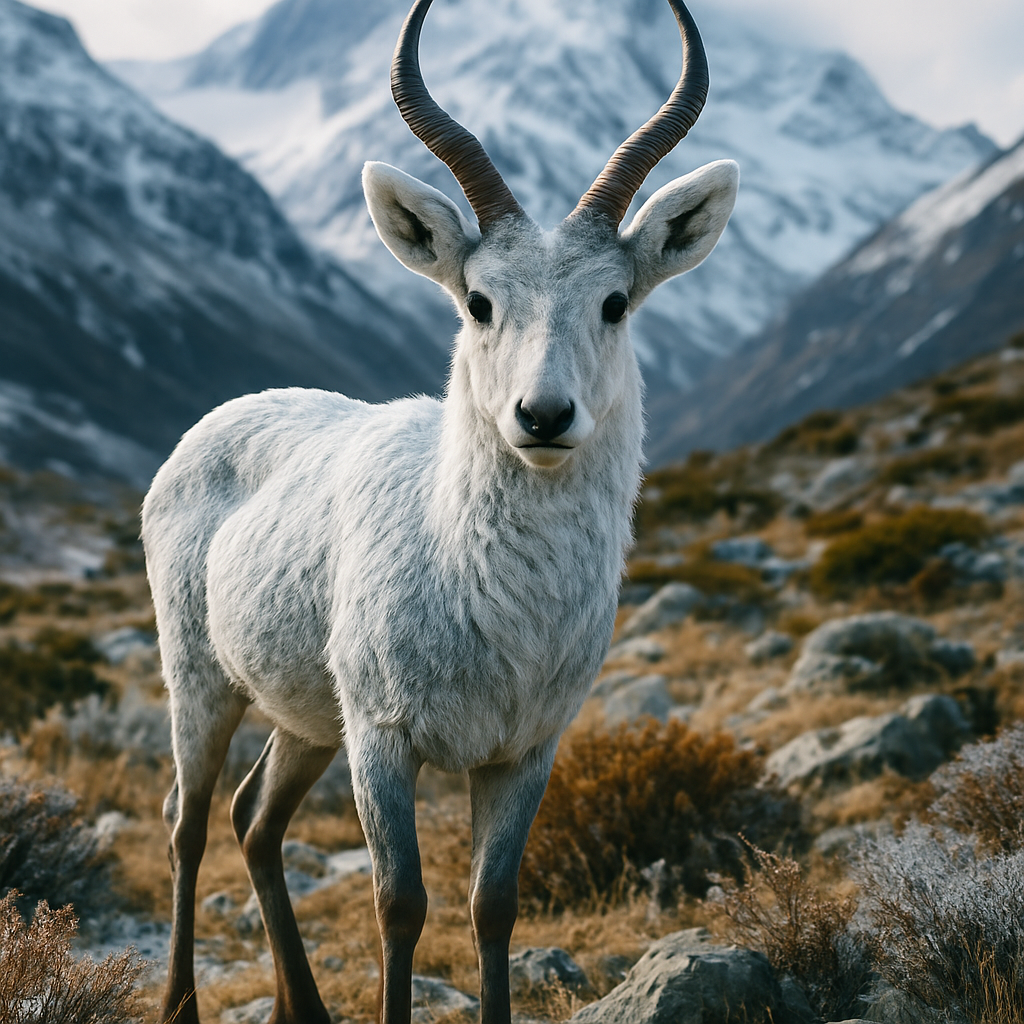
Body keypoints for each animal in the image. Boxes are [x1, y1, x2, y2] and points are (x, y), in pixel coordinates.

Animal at [142, 0, 737, 1021]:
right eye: (479, 299)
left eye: (616, 301)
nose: (543, 416)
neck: (493, 600)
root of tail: (212, 424)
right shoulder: (385, 740)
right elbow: (400, 904)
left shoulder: (525, 751)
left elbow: (493, 903)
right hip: (204, 677)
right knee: (190, 821)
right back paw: (181, 998)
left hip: (311, 718)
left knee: (254, 819)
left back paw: (304, 1006)